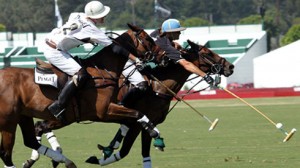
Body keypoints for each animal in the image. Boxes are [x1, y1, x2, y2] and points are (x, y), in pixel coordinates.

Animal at [0, 23, 164, 168]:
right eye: (148, 38)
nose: (164, 56)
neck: (103, 71)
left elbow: (133, 117)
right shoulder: (104, 111)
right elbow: (137, 113)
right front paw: (154, 132)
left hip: (24, 116)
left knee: (30, 140)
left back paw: (64, 161)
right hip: (9, 121)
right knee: (6, 154)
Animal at [27, 39, 233, 167]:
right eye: (207, 52)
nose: (230, 66)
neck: (158, 87)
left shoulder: (142, 124)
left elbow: (135, 151)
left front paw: (104, 152)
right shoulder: (138, 124)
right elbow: (126, 149)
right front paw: (99, 157)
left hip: (63, 117)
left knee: (40, 127)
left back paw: (45, 157)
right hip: (64, 116)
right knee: (39, 127)